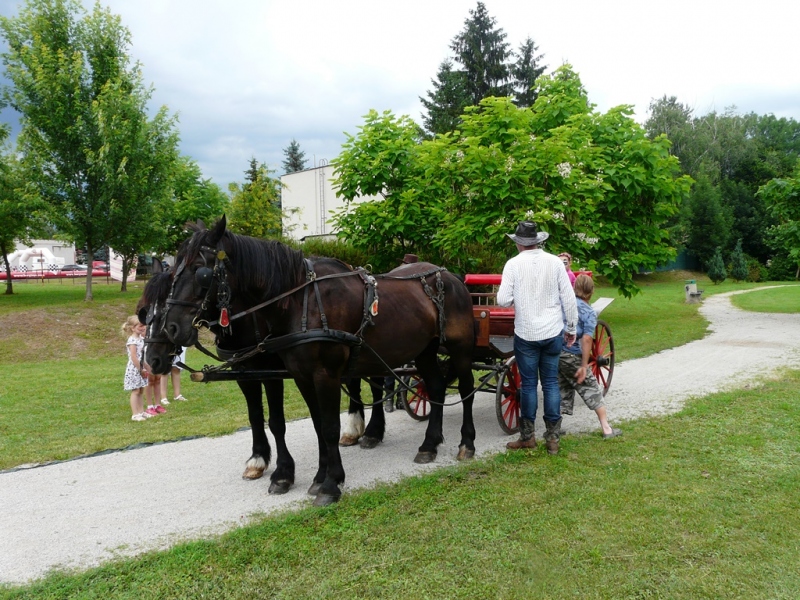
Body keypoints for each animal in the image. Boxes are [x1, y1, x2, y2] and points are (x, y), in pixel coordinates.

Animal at [160, 217, 478, 506]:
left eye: (200, 271)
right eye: (174, 269)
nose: (171, 327)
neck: (302, 301)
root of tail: (450, 276)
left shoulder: (325, 375)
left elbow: (329, 427)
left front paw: (330, 484)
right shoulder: (302, 375)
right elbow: (316, 425)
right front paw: (320, 477)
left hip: (460, 349)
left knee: (465, 391)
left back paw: (467, 443)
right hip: (425, 350)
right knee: (435, 387)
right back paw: (429, 444)